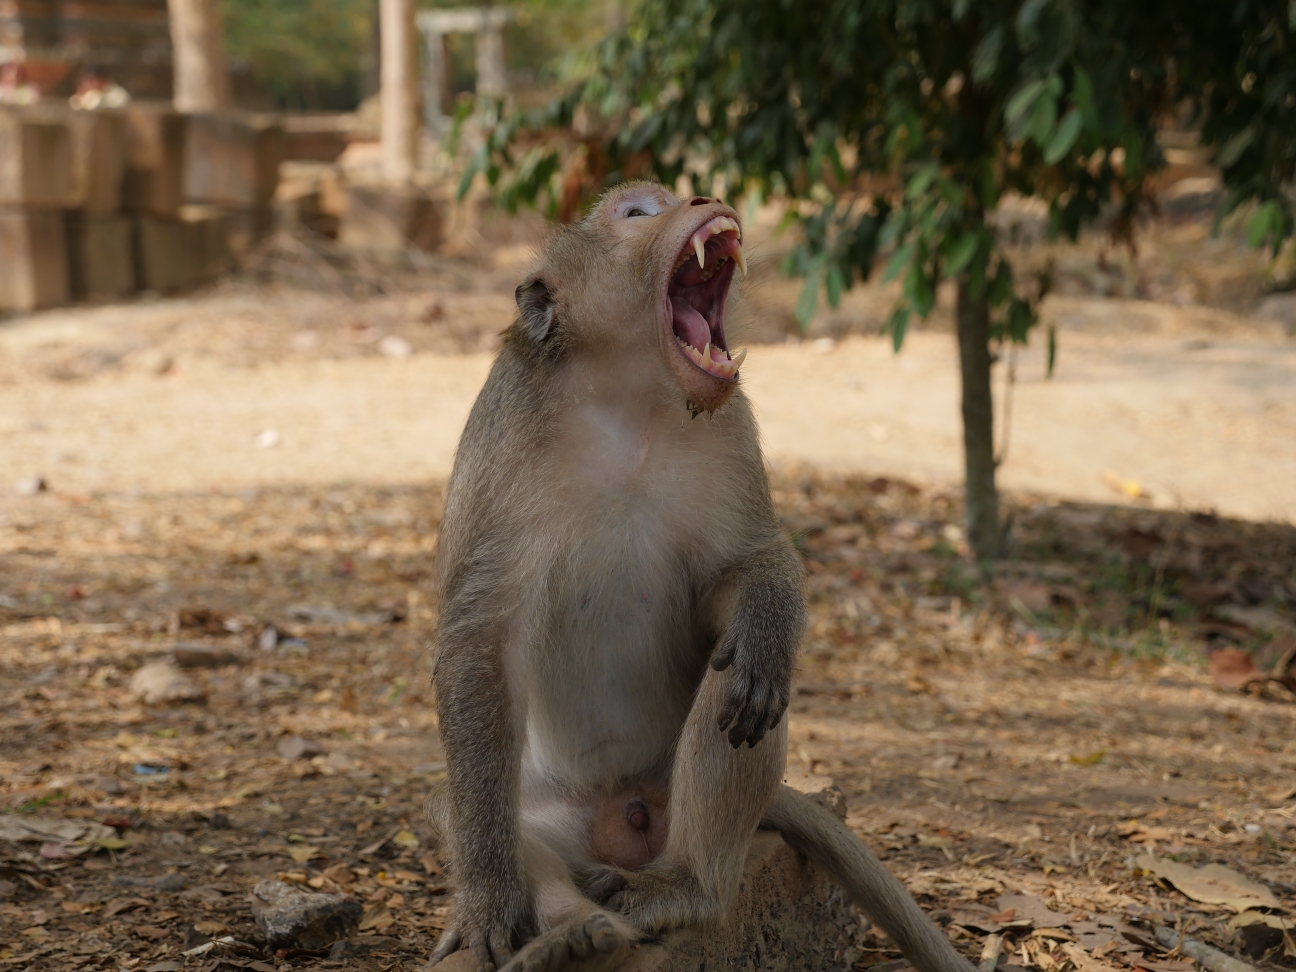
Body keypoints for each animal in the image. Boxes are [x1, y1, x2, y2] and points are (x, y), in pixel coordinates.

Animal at [425, 182, 974, 972]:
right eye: (636, 213)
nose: (703, 196)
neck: (628, 396)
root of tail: (626, 816)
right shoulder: (501, 438)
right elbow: (480, 639)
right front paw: (488, 902)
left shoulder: (730, 425)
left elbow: (740, 576)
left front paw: (765, 623)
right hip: (560, 820)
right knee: (488, 817)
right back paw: (576, 934)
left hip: (670, 802)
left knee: (737, 686)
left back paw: (684, 887)